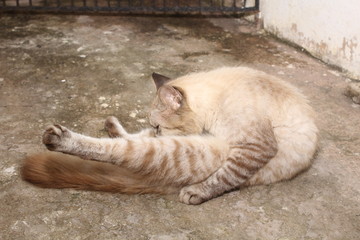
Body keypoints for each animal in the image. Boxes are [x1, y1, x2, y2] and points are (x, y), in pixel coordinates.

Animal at [21, 66, 318, 204]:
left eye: (158, 126)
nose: (155, 132)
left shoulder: (255, 146)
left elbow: (223, 177)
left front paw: (197, 193)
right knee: (127, 140)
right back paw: (110, 124)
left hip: (181, 150)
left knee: (120, 151)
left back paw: (58, 138)